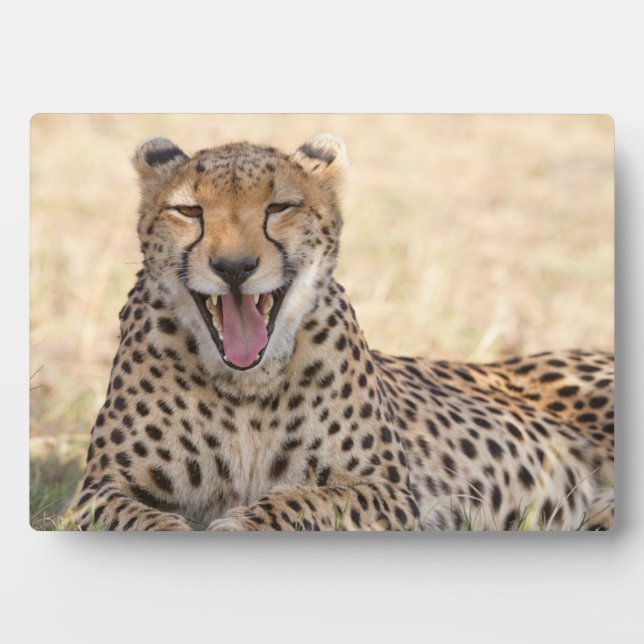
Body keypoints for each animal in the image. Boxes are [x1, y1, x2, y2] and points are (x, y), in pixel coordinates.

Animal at [68, 134, 614, 531]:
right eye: (189, 212)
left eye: (279, 208)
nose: (234, 267)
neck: (245, 388)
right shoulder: (98, 491)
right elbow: (141, 521)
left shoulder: (388, 492)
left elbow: (301, 502)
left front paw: (240, 524)